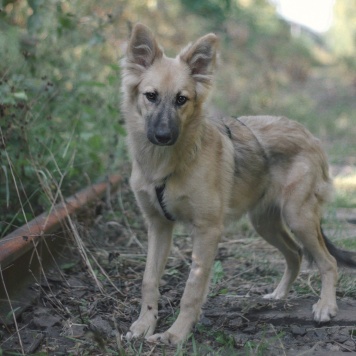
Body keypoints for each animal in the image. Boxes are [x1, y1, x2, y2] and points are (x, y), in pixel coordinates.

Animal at [120, 23, 356, 344]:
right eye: (151, 96)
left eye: (182, 99)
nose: (164, 135)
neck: (166, 164)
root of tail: (310, 136)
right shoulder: (158, 225)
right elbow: (149, 279)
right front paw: (145, 324)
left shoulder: (207, 231)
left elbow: (192, 290)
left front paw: (176, 334)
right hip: (264, 223)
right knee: (295, 254)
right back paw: (279, 295)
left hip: (298, 217)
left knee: (327, 262)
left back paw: (325, 306)